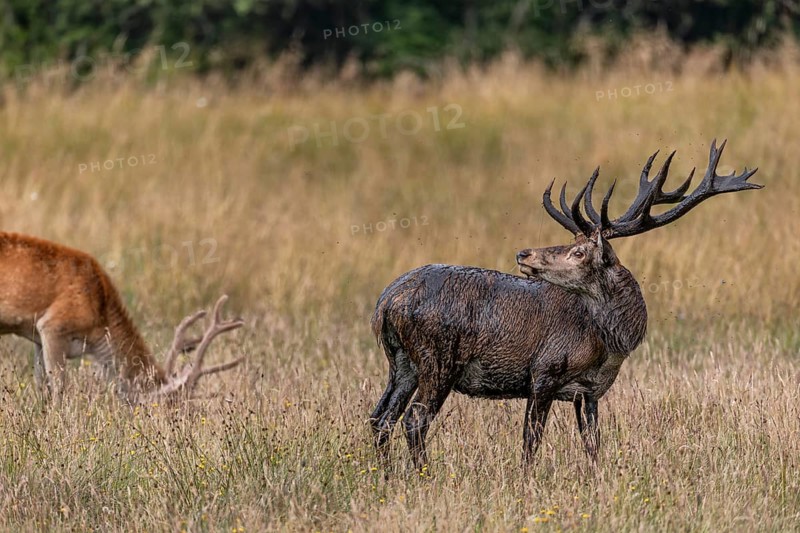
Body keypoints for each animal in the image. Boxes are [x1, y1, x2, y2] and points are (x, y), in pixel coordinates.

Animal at [369, 139, 761, 470]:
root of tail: (386, 302)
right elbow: (531, 440)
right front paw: (527, 481)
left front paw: (596, 478)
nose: (523, 252)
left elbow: (593, 443)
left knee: (380, 417)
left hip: (401, 362)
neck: (611, 344)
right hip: (438, 358)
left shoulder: (589, 392)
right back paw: (424, 475)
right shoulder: (545, 371)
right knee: (414, 419)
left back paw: (385, 475)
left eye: (578, 251)